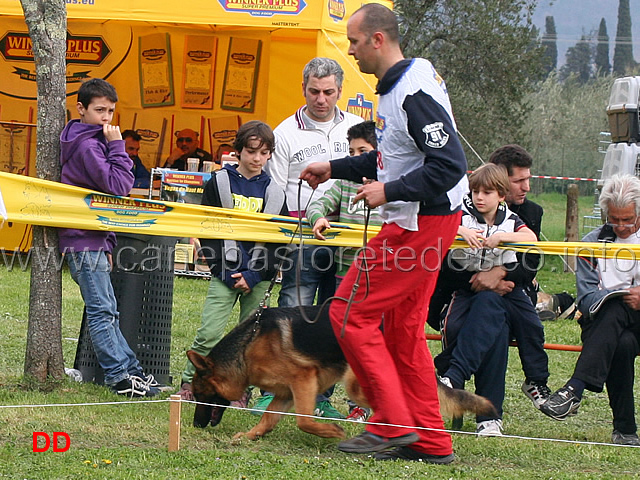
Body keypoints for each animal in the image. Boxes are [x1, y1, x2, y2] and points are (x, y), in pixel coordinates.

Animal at [188, 306, 498, 440]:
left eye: (200, 396)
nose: (195, 425)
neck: (247, 347)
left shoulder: (304, 380)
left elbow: (304, 420)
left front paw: (331, 431)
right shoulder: (286, 392)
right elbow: (268, 419)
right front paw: (251, 435)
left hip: (356, 385)